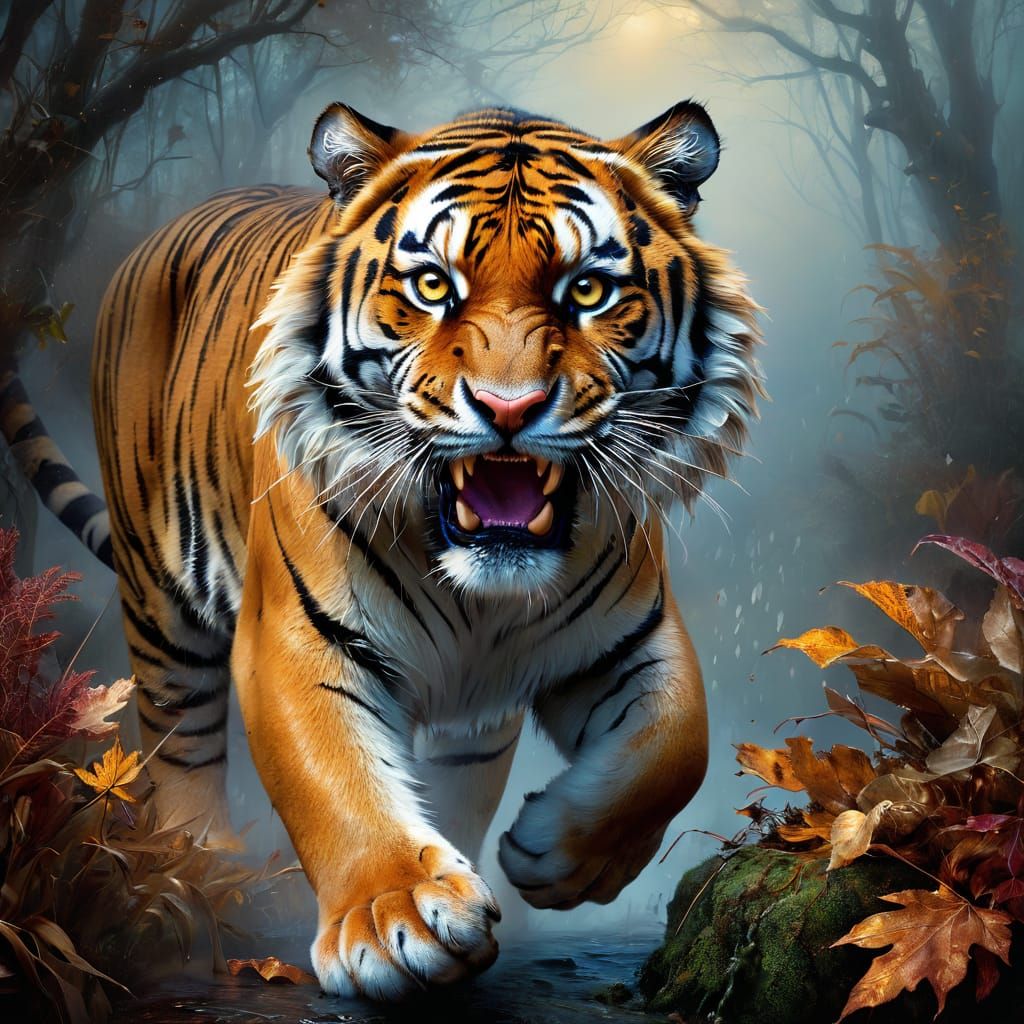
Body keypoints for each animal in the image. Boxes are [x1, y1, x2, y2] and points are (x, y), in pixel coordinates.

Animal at [27, 101, 764, 999]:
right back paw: (205, 877)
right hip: (161, 606)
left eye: (587, 290)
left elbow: (676, 747)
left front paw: (553, 854)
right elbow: (334, 778)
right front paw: (396, 917)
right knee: (182, 742)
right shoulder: (293, 637)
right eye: (432, 286)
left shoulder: (631, 635)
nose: (507, 407)